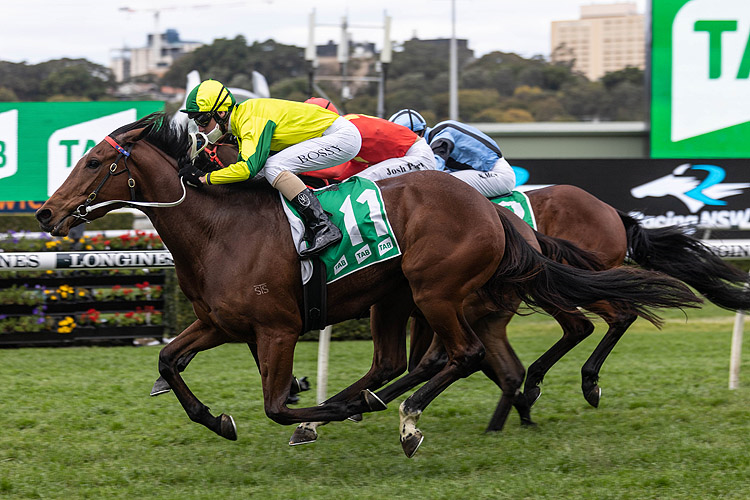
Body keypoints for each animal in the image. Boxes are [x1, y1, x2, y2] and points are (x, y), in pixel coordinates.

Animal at [35, 114, 704, 458]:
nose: (46, 213)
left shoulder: (277, 329)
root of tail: (496, 214)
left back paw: (409, 417)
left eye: (93, 162)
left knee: (472, 352)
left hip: (437, 292)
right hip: (407, 298)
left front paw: (319, 411)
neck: (219, 228)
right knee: (432, 362)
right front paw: (218, 419)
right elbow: (170, 361)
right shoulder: (218, 323)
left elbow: (275, 403)